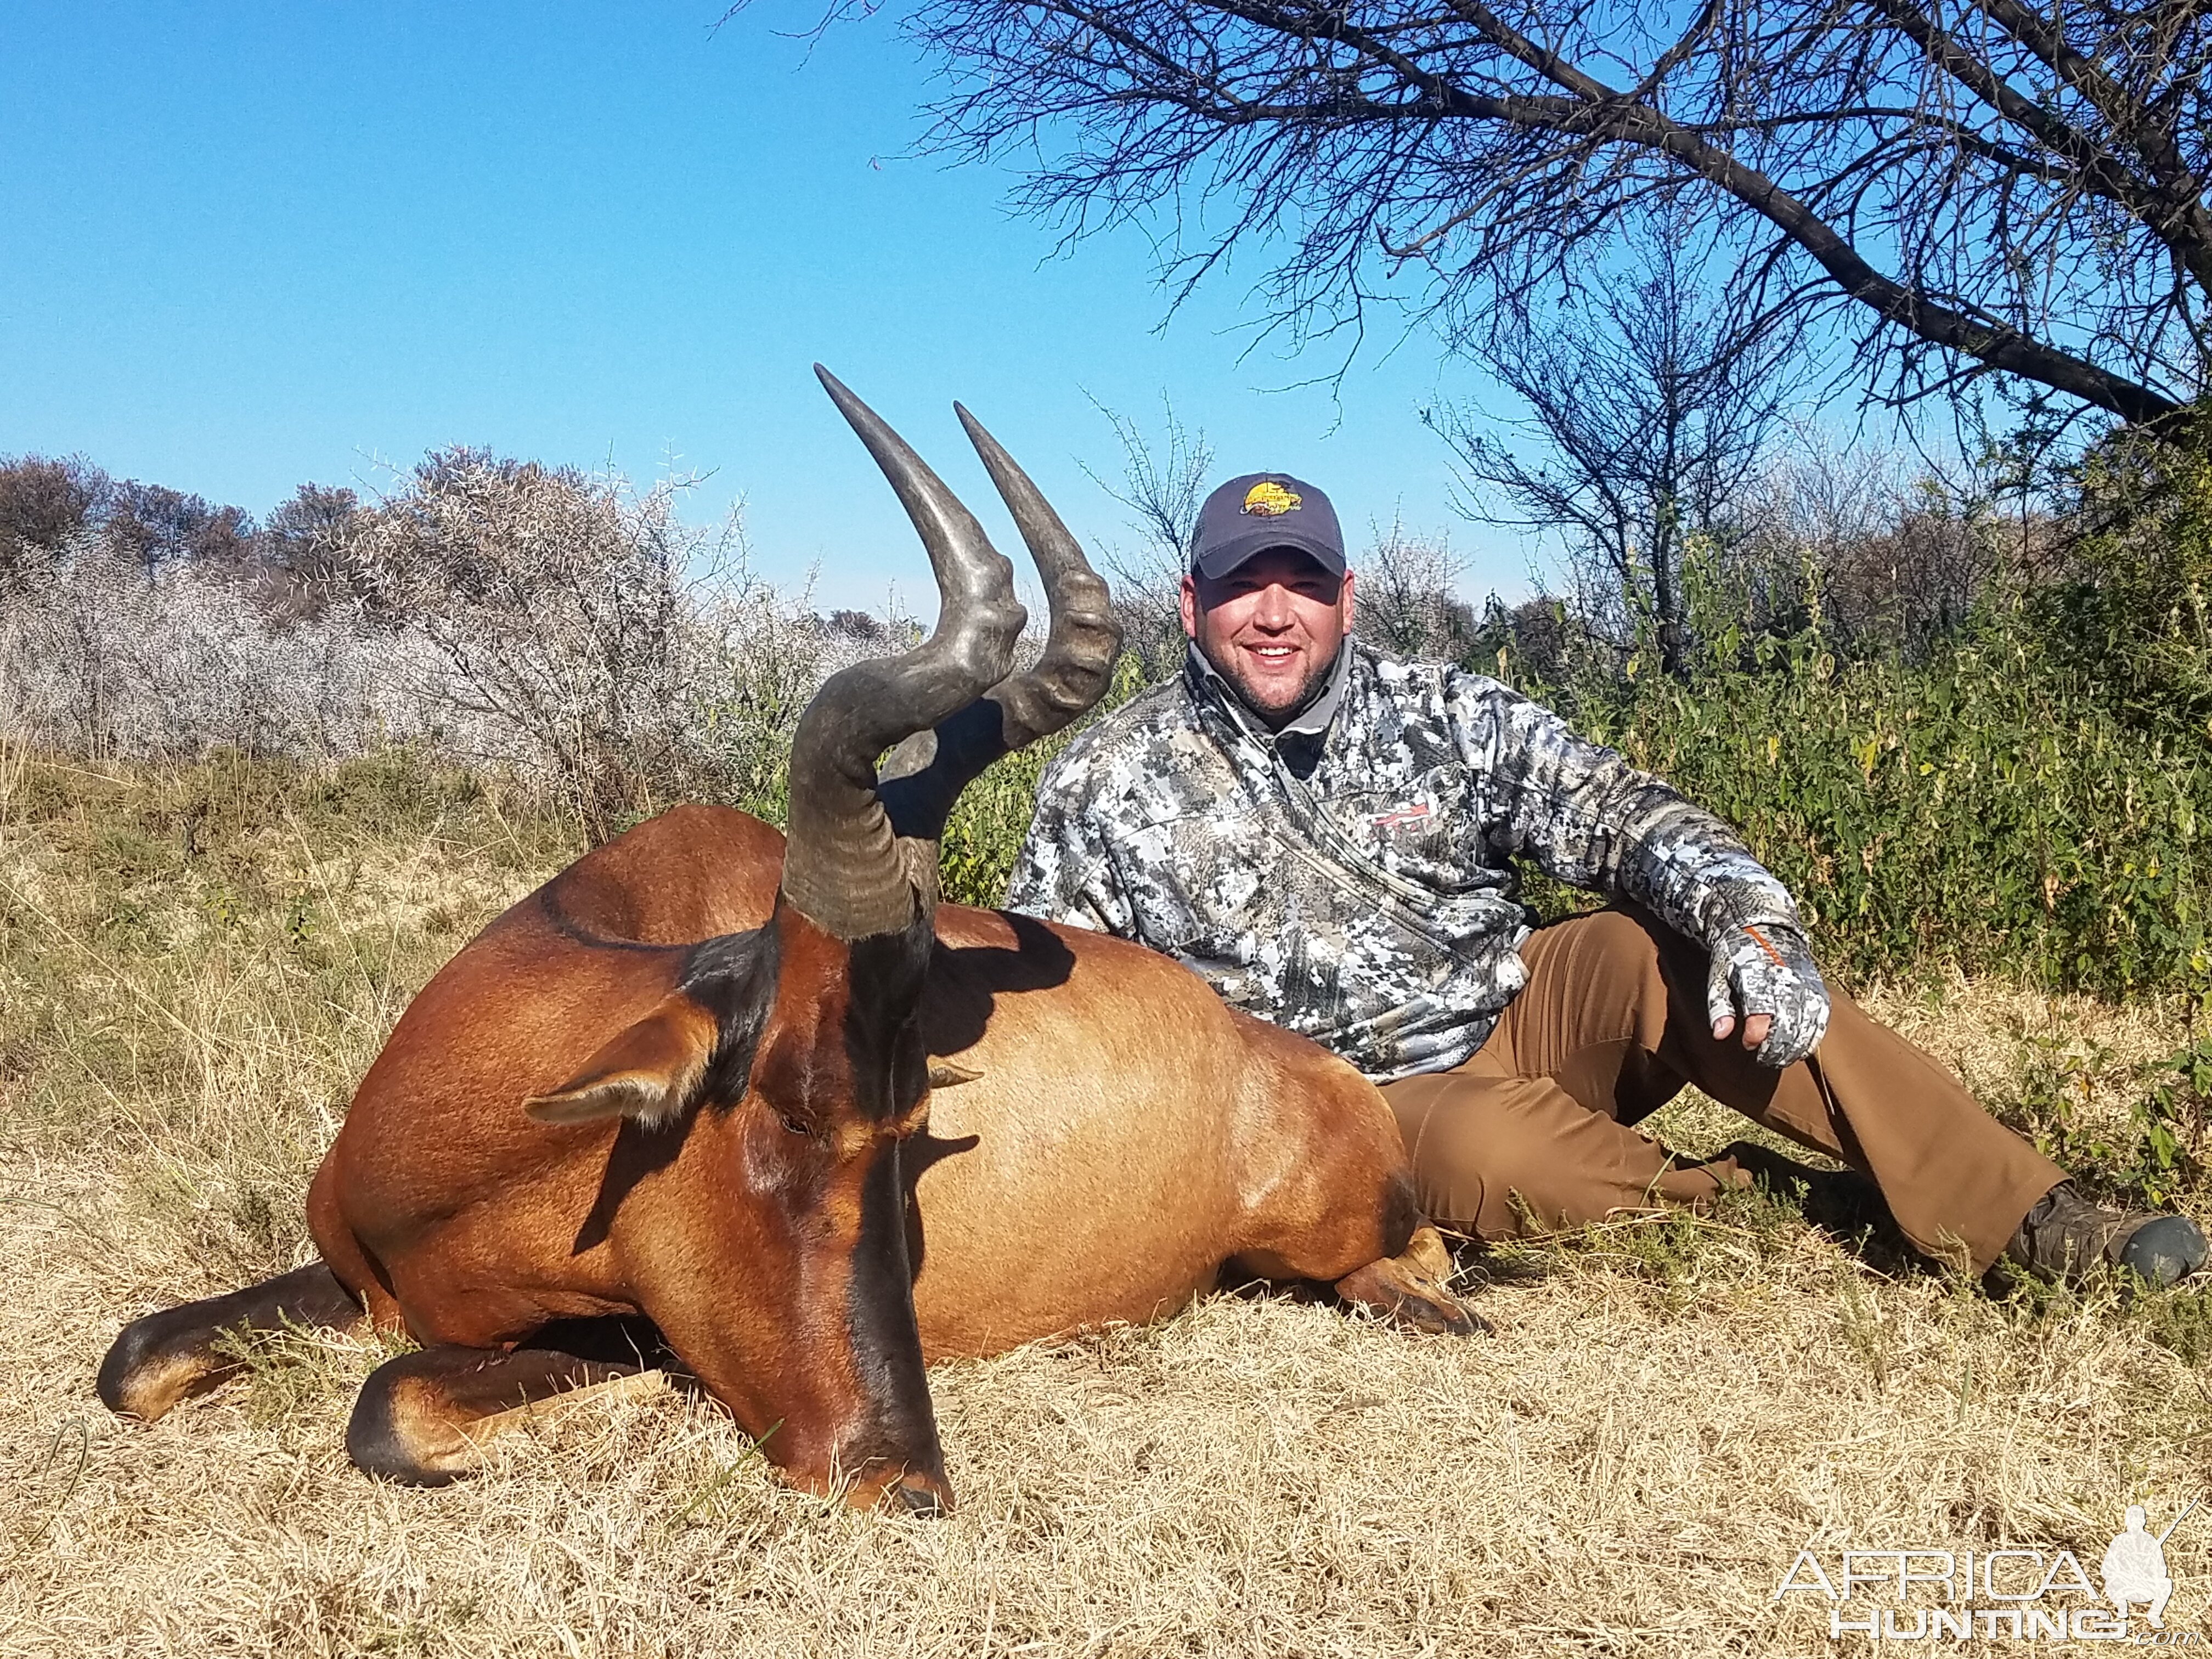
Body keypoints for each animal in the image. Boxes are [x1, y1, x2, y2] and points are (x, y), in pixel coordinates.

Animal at [108, 374, 1486, 1522]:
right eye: (794, 1107)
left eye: (913, 1128)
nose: (903, 1478)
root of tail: (1313, 1068)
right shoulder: (347, 1281)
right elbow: (135, 1359)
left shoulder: (630, 1329)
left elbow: (389, 1403)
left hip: (1338, 1240)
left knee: (1403, 1274)